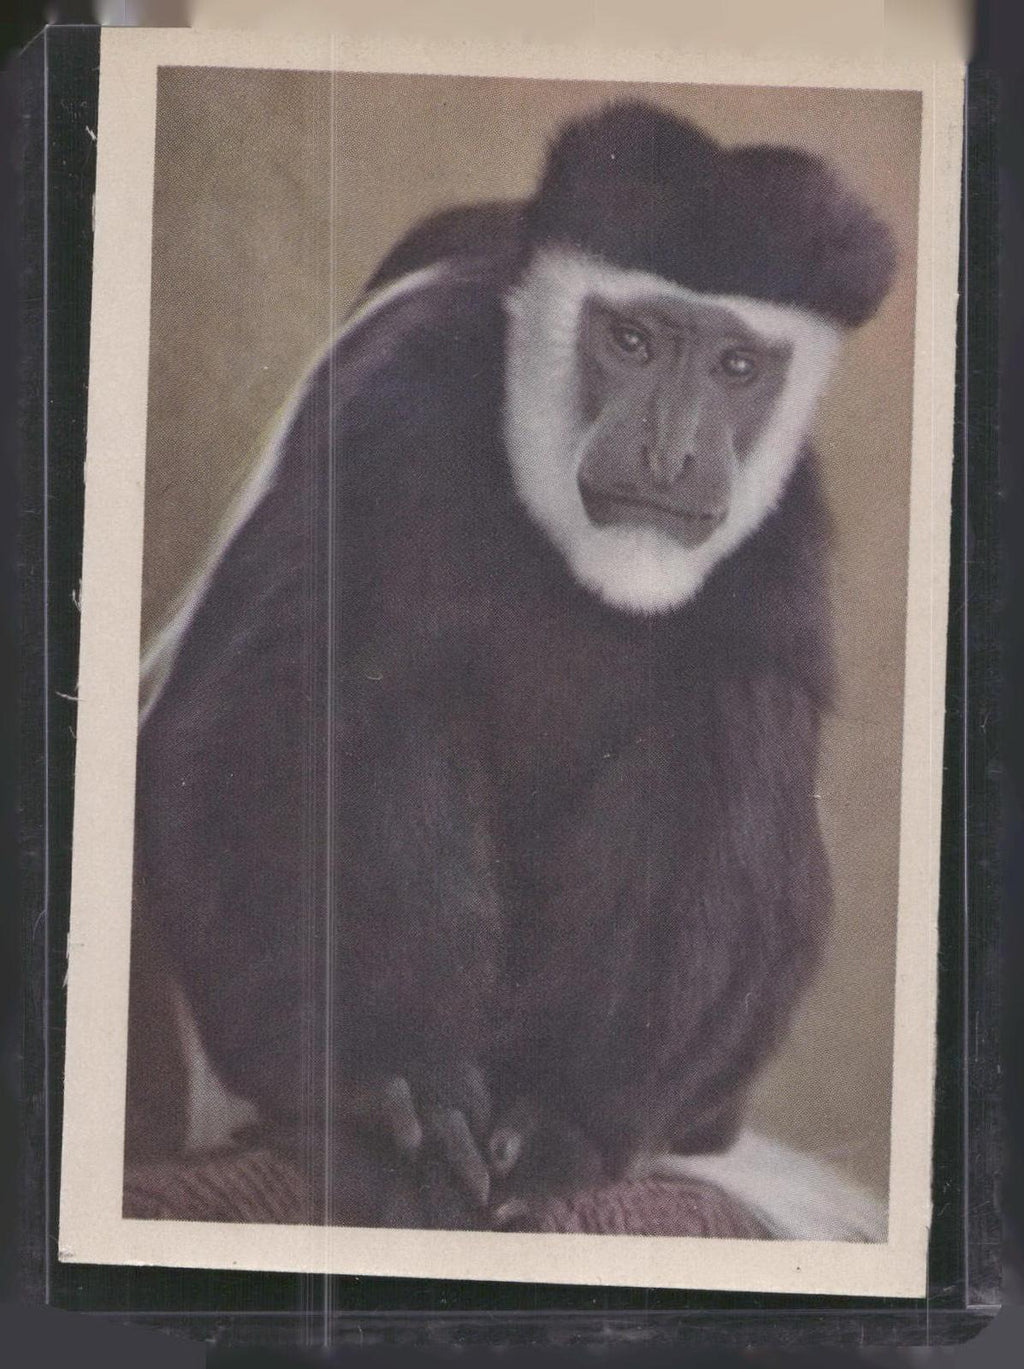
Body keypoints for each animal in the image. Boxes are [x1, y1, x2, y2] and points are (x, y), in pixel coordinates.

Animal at [130, 101, 896, 1233]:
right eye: (630, 340)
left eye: (736, 368)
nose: (670, 455)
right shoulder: (390, 404)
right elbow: (246, 726)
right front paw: (390, 1085)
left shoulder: (782, 526)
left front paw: (559, 1125)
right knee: (374, 690)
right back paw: (398, 1115)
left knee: (726, 721)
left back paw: (550, 1134)